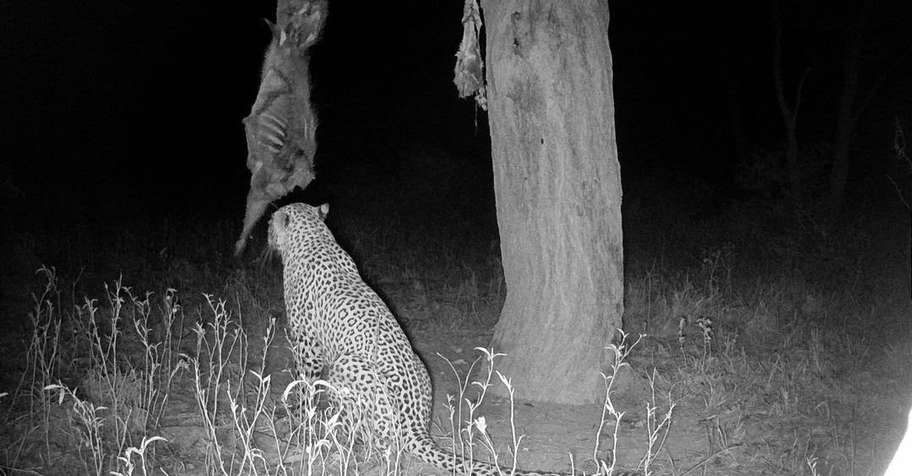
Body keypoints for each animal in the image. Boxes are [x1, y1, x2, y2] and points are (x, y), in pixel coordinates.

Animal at [268, 202, 639, 476]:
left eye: (272, 222)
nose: (265, 232)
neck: (314, 237)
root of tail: (417, 426)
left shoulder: (308, 347)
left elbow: (304, 386)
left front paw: (300, 421)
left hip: (348, 366)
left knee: (373, 439)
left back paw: (334, 445)